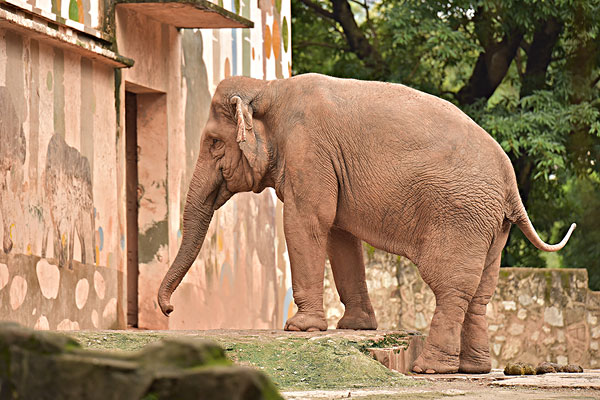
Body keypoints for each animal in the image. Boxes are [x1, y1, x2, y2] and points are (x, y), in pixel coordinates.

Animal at [157, 72, 576, 376]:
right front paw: (355, 328)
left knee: (451, 286)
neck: (268, 87)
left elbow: (306, 221)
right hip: (491, 225)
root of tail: (510, 184)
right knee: (481, 291)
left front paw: (300, 328)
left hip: (461, 215)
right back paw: (473, 369)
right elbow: (338, 235)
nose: (169, 310)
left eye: (214, 143)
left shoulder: (308, 150)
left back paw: (429, 369)